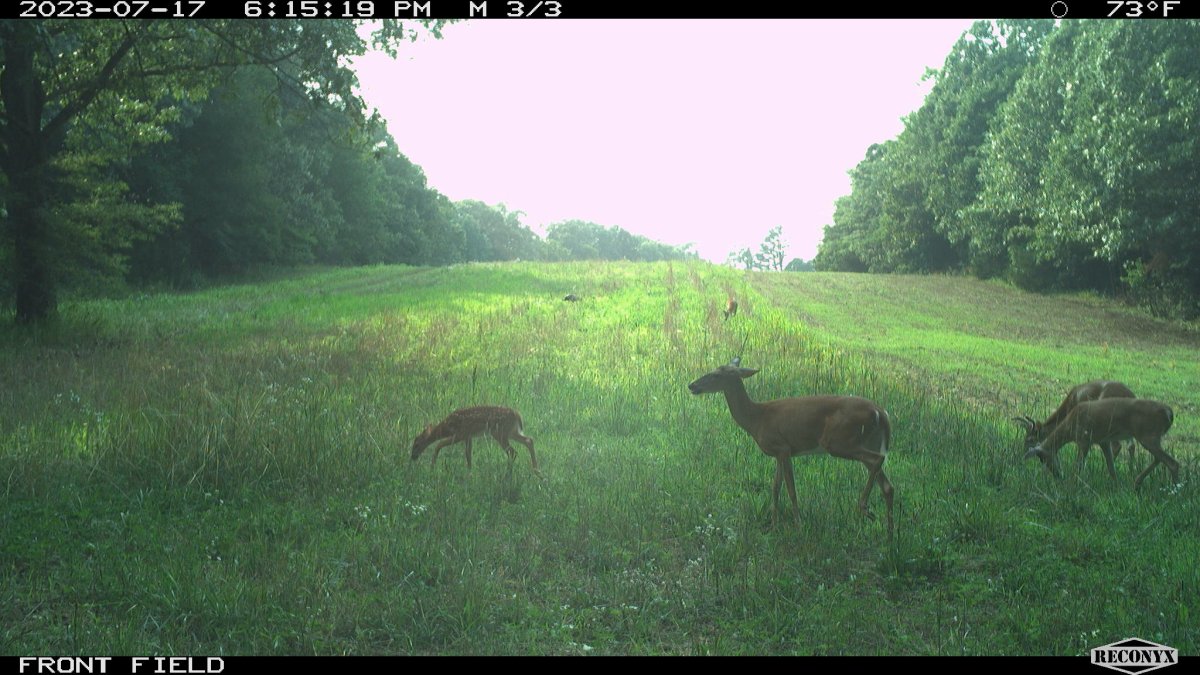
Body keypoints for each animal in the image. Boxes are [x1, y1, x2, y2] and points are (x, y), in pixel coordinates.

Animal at [411, 406, 541, 476]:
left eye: (416, 444)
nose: (413, 457)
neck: (447, 427)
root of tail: (517, 415)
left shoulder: (460, 434)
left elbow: (439, 444)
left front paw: (432, 467)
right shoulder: (469, 436)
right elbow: (468, 455)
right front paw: (470, 474)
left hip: (500, 433)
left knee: (513, 452)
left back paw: (508, 475)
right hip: (511, 432)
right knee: (529, 440)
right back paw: (537, 472)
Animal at [688, 359, 895, 538]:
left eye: (716, 375)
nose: (692, 385)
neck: (756, 420)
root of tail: (880, 412)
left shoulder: (783, 447)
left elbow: (791, 489)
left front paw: (798, 525)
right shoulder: (778, 453)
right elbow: (775, 488)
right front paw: (773, 526)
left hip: (839, 441)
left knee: (877, 460)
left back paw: (864, 507)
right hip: (866, 441)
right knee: (887, 485)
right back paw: (889, 534)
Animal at [1023, 397, 1179, 489]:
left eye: (1044, 459)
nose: (1058, 475)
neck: (1070, 427)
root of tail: (1169, 413)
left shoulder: (1085, 439)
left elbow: (1078, 466)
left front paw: (1071, 485)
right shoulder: (1103, 441)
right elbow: (1111, 467)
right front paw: (1116, 486)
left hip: (1148, 435)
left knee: (1172, 462)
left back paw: (1175, 490)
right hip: (1152, 437)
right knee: (1160, 458)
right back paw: (1137, 481)